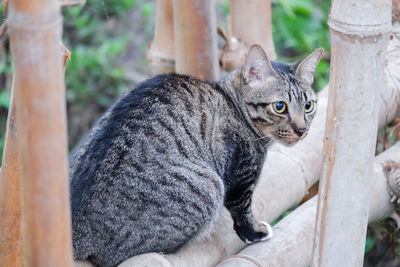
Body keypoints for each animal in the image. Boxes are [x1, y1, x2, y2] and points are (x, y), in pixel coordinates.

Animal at [70, 45, 324, 266]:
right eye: (279, 106)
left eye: (308, 106)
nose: (302, 130)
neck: (231, 102)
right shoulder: (241, 177)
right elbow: (242, 211)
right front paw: (255, 233)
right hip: (209, 186)